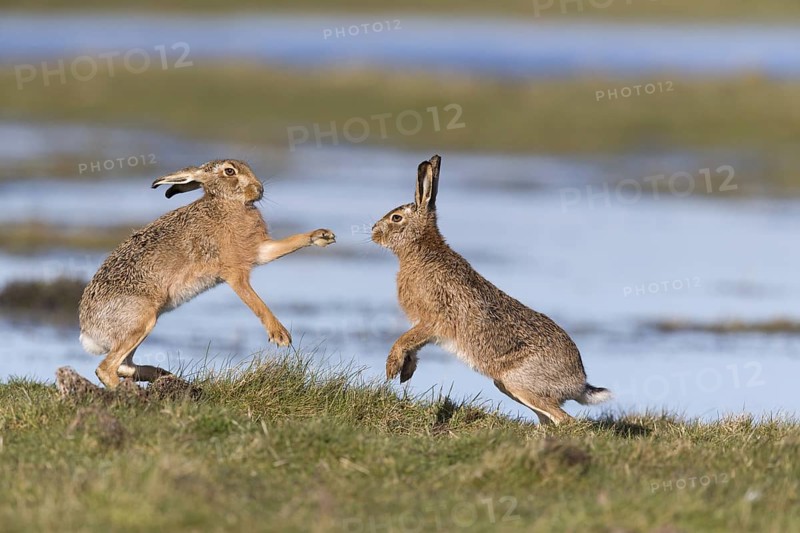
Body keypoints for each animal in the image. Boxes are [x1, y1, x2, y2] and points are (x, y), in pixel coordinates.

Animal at [79, 159, 336, 388]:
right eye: (230, 171)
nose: (260, 189)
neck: (226, 203)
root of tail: (88, 332)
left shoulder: (259, 250)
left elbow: (288, 243)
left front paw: (321, 236)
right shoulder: (235, 274)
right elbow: (255, 302)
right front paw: (280, 335)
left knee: (123, 364)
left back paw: (163, 374)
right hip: (142, 320)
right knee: (106, 368)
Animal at [371, 155, 610, 424]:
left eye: (396, 218)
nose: (373, 231)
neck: (421, 249)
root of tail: (579, 383)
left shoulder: (433, 319)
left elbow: (405, 340)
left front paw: (391, 368)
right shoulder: (427, 329)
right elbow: (413, 346)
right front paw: (405, 372)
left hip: (519, 383)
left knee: (565, 420)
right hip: (507, 385)